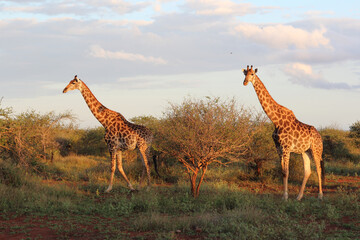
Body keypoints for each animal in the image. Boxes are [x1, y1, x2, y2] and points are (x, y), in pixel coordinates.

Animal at [242, 65, 324, 201]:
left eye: (252, 74)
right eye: (244, 74)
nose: (245, 82)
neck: (276, 121)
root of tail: (320, 137)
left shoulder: (286, 148)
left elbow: (286, 172)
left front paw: (285, 197)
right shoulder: (278, 148)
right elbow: (282, 172)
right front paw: (284, 196)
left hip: (316, 150)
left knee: (318, 169)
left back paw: (320, 196)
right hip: (305, 151)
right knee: (307, 171)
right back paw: (299, 197)